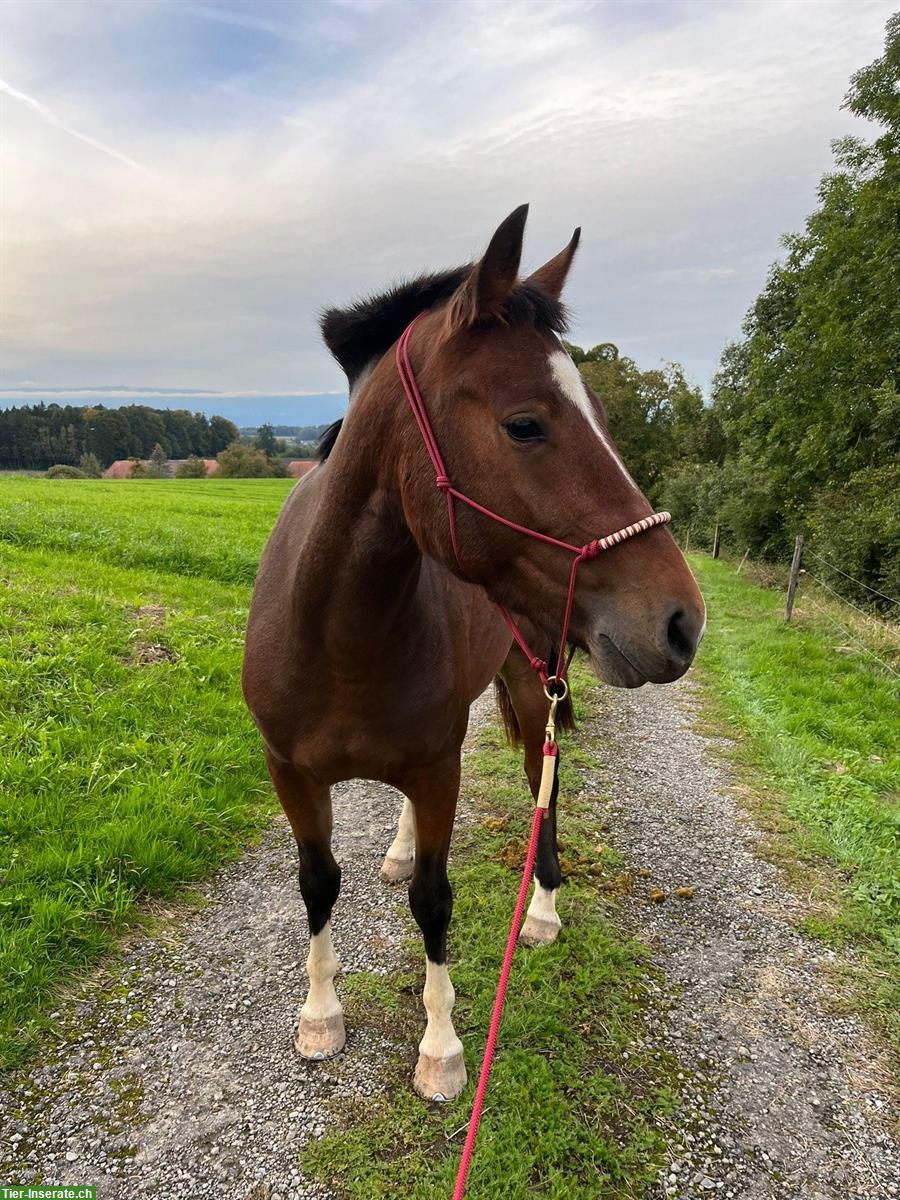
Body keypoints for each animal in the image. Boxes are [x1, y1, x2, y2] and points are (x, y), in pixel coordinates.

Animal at [243, 201, 710, 1099]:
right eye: (524, 424)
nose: (682, 623)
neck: (337, 632)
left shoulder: (439, 767)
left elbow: (435, 900)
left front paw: (440, 1048)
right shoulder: (292, 772)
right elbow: (317, 883)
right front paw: (320, 1015)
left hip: (537, 684)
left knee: (542, 784)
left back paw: (544, 910)